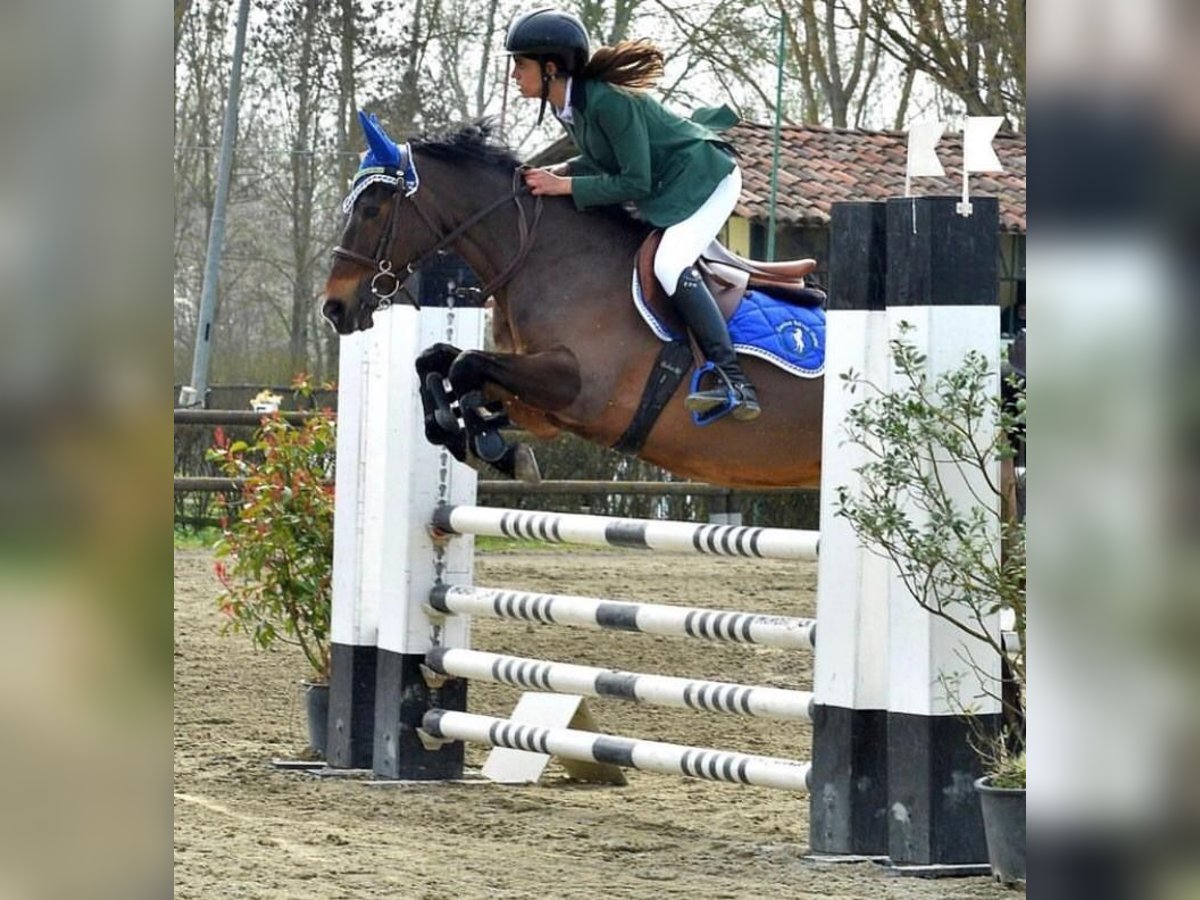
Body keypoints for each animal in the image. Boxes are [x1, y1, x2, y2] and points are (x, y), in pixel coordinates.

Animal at [319, 120, 825, 489]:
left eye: (371, 209)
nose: (333, 308)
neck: (554, 260)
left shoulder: (580, 389)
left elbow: (464, 365)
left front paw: (486, 444)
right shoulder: (542, 403)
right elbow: (436, 360)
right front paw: (467, 433)